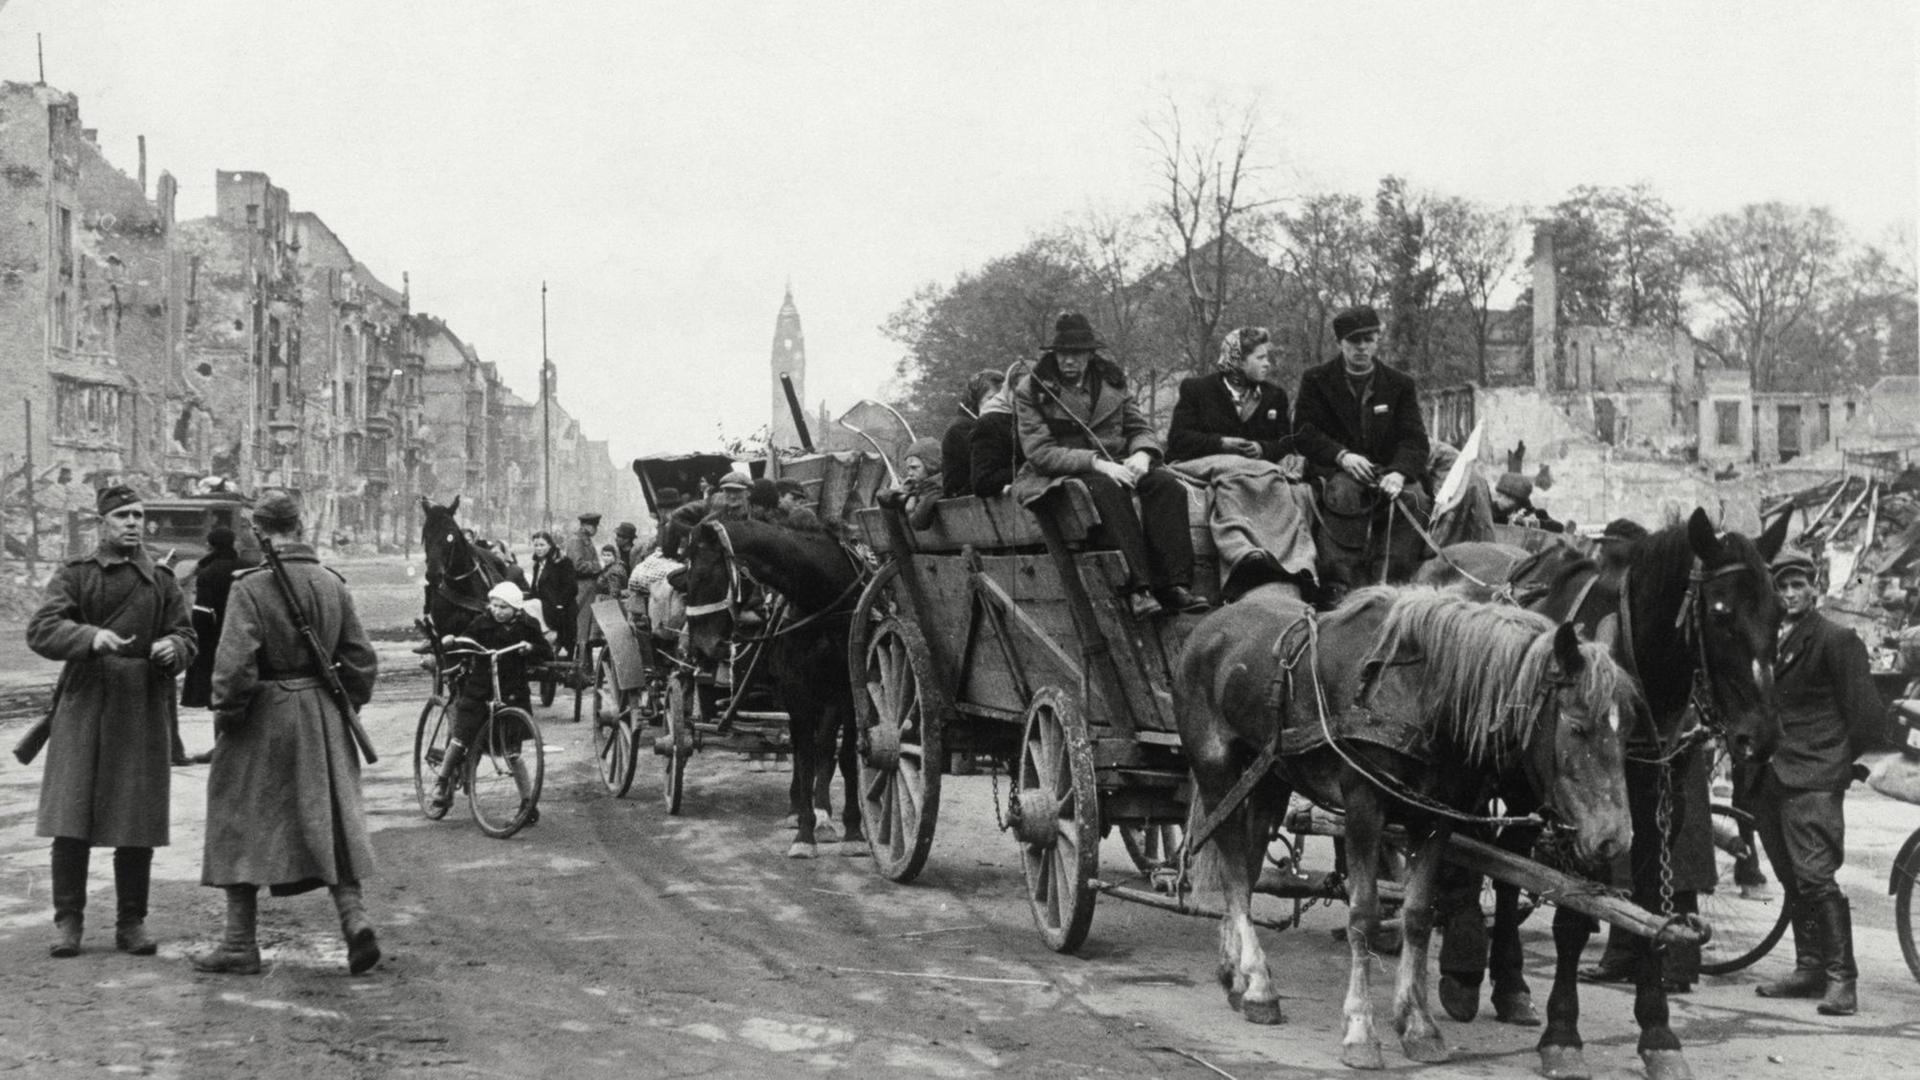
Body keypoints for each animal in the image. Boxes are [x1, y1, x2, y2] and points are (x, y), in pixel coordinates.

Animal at [679, 515, 867, 857]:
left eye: (708, 574)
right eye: (683, 579)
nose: (699, 648)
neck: (823, 600)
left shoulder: (848, 690)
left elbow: (843, 756)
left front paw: (853, 832)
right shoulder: (797, 690)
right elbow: (803, 757)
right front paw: (804, 833)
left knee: (824, 747)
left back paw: (824, 813)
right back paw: (801, 811)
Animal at [1167, 584, 1635, 1060]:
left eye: (1626, 731)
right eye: (1577, 726)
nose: (1615, 838)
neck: (1415, 695)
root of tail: (1211, 622)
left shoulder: (1434, 819)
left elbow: (1417, 915)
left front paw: (1418, 1025)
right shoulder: (1364, 807)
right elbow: (1363, 915)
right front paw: (1359, 1029)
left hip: (1268, 778)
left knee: (1248, 865)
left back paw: (1237, 976)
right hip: (1216, 768)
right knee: (1233, 871)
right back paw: (1260, 987)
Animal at [1428, 507, 1781, 1076]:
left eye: (1779, 613)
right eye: (1721, 612)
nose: (1762, 736)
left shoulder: (1655, 813)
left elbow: (1649, 914)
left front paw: (1658, 1031)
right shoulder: (1583, 816)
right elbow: (1574, 919)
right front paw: (1563, 1032)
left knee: (1504, 865)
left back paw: (1510, 984)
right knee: (1459, 847)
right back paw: (1461, 964)